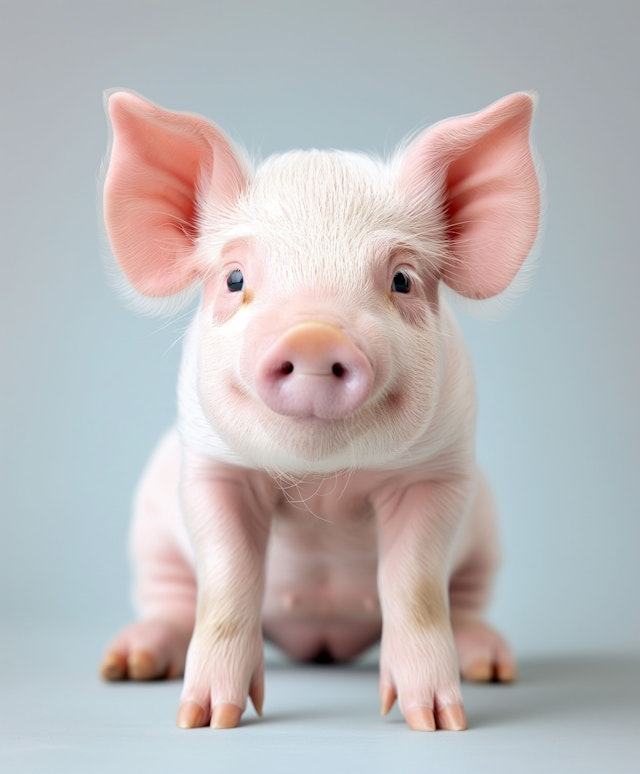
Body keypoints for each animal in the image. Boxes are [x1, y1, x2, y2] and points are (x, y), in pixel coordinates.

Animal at [99, 91, 540, 732]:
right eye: (234, 278)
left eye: (402, 280)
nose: (312, 335)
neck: (324, 485)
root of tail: (321, 646)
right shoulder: (211, 468)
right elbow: (227, 582)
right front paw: (207, 720)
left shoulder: (441, 474)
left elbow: (415, 588)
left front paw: (439, 723)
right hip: (151, 532)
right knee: (173, 602)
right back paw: (126, 664)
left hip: (485, 528)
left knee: (465, 603)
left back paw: (492, 666)